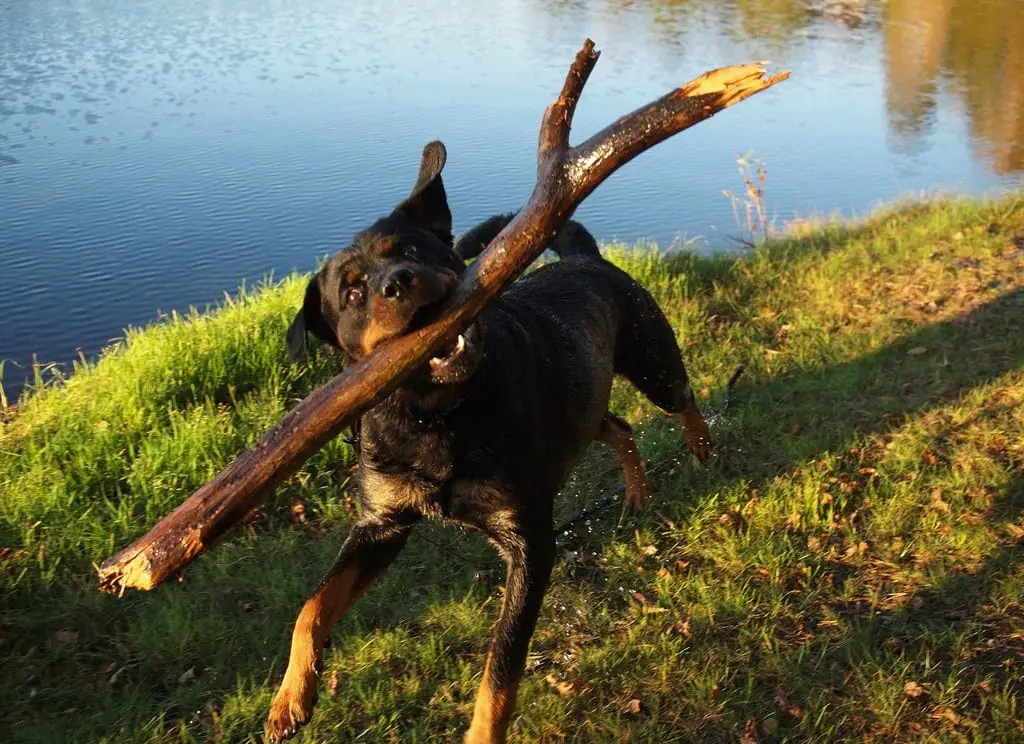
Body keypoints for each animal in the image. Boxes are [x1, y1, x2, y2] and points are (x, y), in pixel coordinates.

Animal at [268, 141, 708, 744]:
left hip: (651, 362)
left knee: (682, 397)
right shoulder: (381, 525)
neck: (436, 418)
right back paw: (637, 490)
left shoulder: (530, 542)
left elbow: (500, 666)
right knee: (620, 427)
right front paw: (290, 698)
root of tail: (588, 258)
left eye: (411, 249)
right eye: (353, 292)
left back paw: (702, 442)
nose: (398, 281)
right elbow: (310, 608)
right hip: (583, 405)